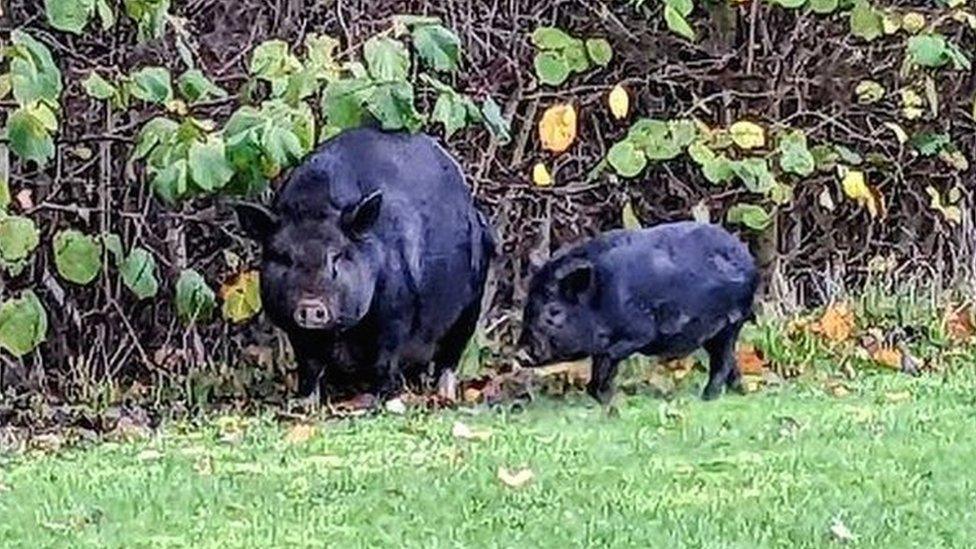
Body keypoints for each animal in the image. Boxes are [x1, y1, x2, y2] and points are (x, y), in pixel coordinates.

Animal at [233, 127, 496, 402]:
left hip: (470, 307)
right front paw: (304, 401)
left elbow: (384, 361)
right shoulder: (297, 333)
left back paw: (445, 395)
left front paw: (380, 399)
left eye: (337, 256)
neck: (341, 334)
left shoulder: (396, 315)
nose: (312, 306)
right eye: (284, 257)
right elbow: (309, 367)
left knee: (450, 357)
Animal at [516, 220, 760, 404]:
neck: (600, 295)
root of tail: (748, 258)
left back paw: (708, 397)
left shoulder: (637, 334)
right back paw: (740, 391)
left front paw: (608, 400)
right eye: (528, 305)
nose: (520, 353)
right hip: (717, 333)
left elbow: (607, 361)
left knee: (723, 360)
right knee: (729, 359)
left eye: (554, 311)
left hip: (731, 322)